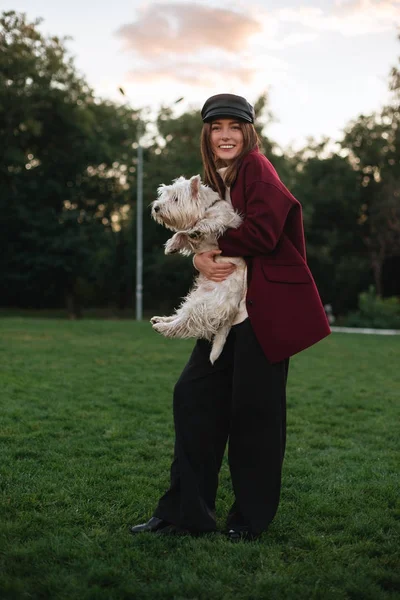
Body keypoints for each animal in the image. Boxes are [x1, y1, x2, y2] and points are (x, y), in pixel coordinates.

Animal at [150, 172, 245, 360]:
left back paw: (162, 327)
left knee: (185, 324)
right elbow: (182, 233)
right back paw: (160, 320)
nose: (156, 207)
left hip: (204, 305)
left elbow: (209, 223)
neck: (206, 208)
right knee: (181, 315)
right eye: (164, 195)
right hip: (195, 298)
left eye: (176, 199)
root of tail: (232, 311)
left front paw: (198, 229)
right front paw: (172, 245)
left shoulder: (227, 220)